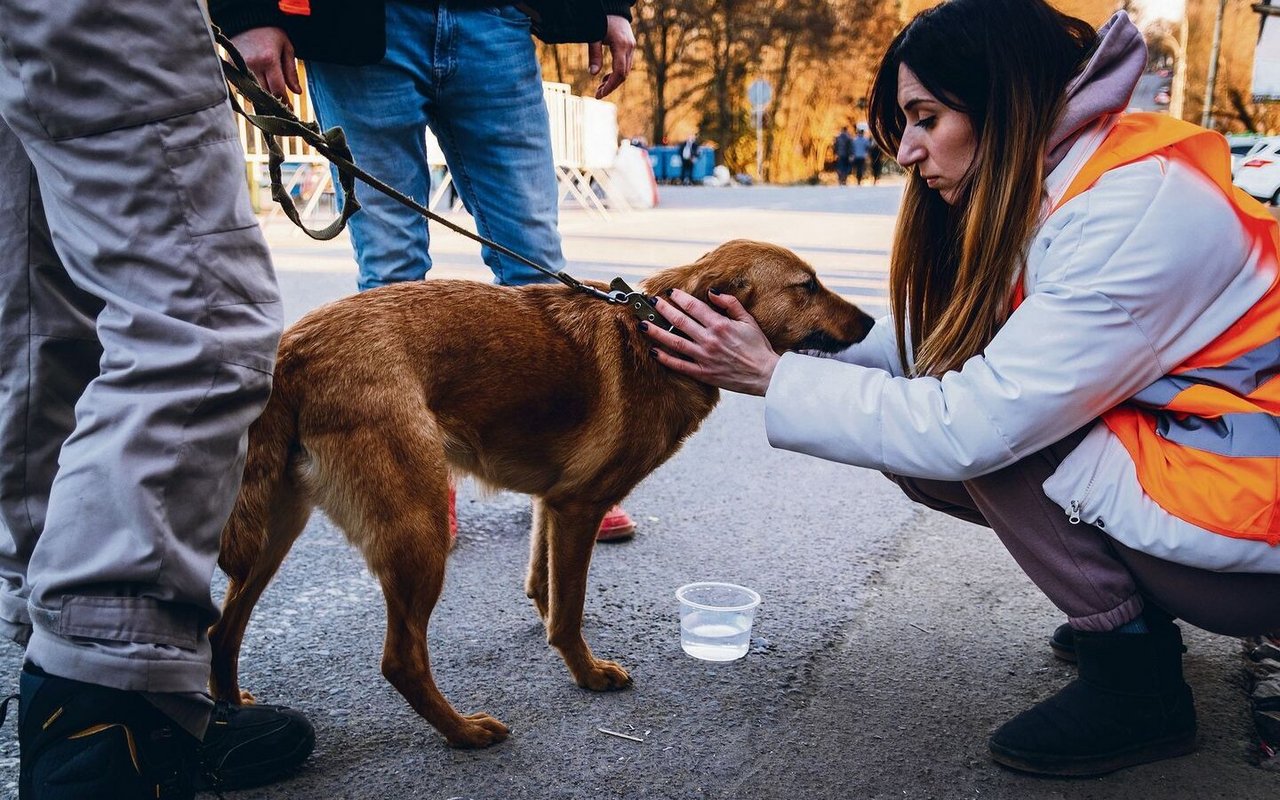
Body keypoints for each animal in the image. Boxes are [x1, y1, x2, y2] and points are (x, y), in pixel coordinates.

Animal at [209, 240, 875, 747]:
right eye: (807, 285)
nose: (872, 323)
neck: (656, 330)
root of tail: (294, 349)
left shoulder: (551, 503)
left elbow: (544, 583)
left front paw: (551, 626)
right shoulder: (579, 508)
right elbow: (570, 607)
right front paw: (586, 673)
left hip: (275, 529)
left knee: (223, 628)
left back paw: (228, 709)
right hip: (417, 533)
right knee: (401, 659)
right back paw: (463, 733)